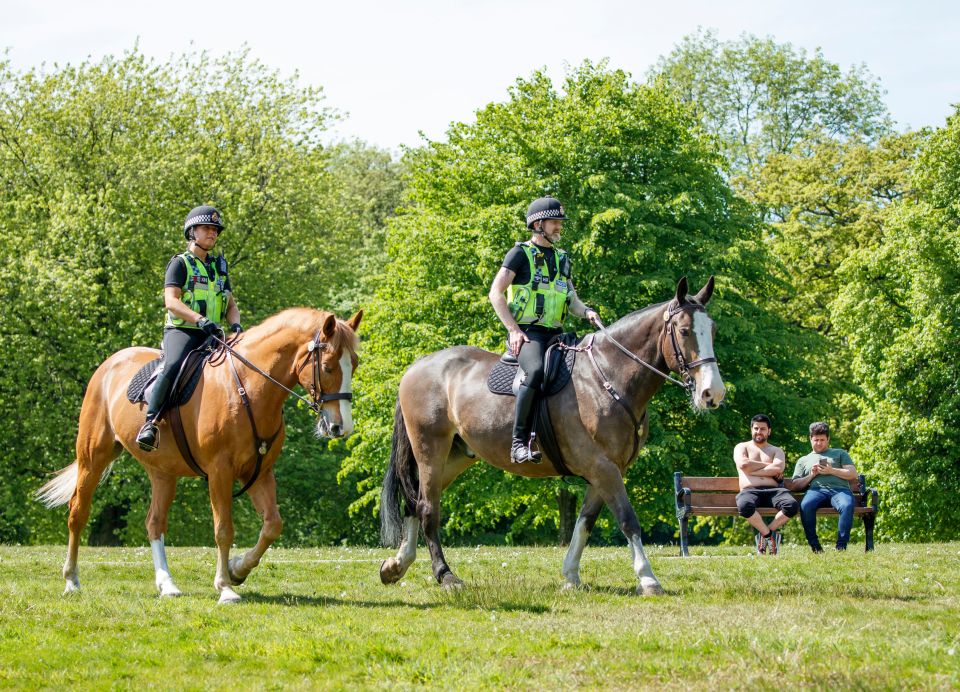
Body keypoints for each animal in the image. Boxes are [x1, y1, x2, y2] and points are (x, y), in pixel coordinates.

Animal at [36, 308, 360, 600]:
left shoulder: (259, 473)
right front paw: (225, 587)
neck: (248, 389)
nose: (341, 426)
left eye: (354, 365)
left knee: (154, 522)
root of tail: (109, 364)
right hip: (93, 458)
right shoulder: (220, 472)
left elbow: (272, 525)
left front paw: (238, 570)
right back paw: (71, 580)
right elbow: (223, 529)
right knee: (78, 513)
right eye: (328, 366)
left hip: (162, 472)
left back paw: (167, 584)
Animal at [378, 276, 724, 596]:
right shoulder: (602, 468)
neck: (608, 378)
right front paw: (648, 579)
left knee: (416, 501)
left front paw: (571, 575)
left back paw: (396, 566)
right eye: (684, 331)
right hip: (430, 450)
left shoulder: (606, 470)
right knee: (427, 508)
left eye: (713, 330)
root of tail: (417, 367)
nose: (712, 393)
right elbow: (628, 520)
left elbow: (585, 522)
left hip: (456, 456)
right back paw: (445, 575)